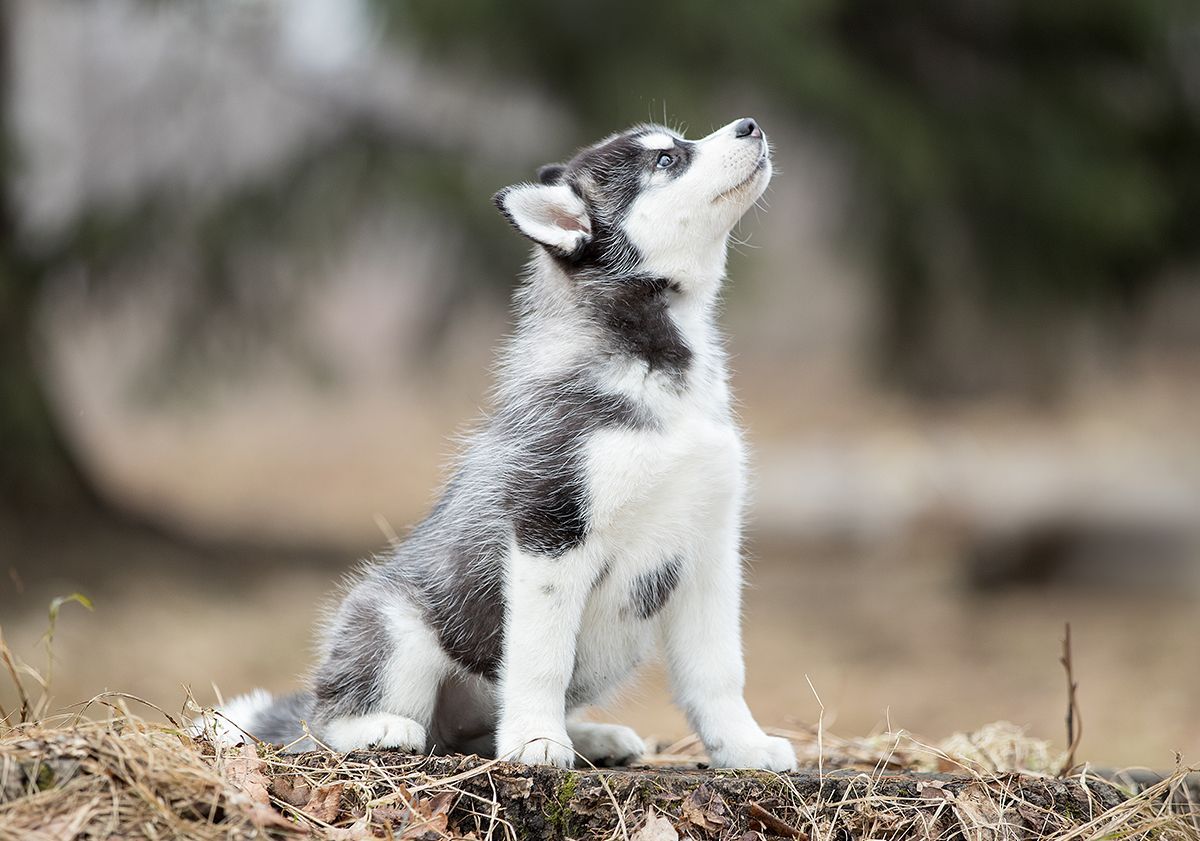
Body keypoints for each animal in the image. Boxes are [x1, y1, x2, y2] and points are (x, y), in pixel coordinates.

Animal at [208, 116, 796, 767]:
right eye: (666, 160)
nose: (750, 125)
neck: (658, 373)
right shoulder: (550, 529)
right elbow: (542, 660)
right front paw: (538, 742)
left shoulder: (710, 547)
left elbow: (719, 670)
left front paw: (744, 747)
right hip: (393, 625)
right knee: (333, 720)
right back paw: (380, 729)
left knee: (475, 732)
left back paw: (587, 738)